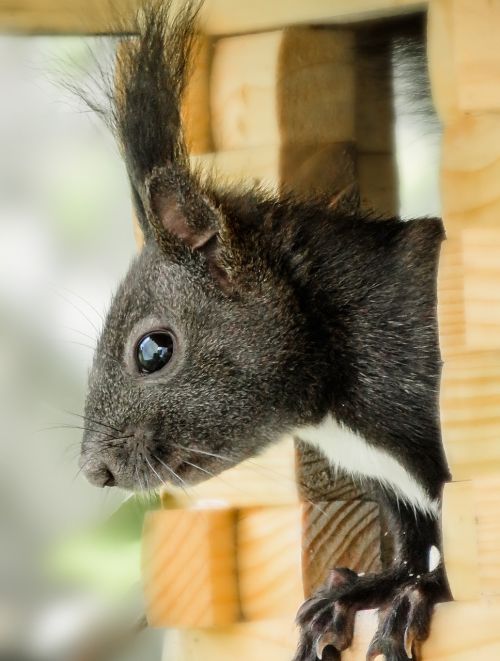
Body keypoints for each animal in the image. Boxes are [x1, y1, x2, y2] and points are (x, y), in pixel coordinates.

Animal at [77, 2, 450, 656]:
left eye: (152, 350)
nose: (96, 471)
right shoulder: (393, 489)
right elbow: (408, 544)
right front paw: (356, 593)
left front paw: (420, 595)